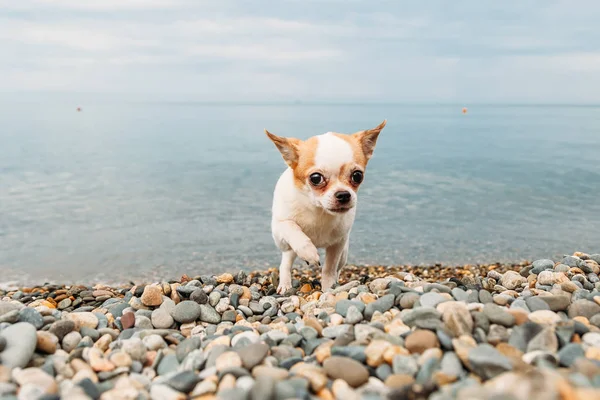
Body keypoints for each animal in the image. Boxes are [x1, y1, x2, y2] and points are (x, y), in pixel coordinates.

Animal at [264, 120, 386, 292]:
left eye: (357, 175)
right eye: (316, 178)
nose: (343, 194)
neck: (318, 209)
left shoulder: (338, 243)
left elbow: (329, 267)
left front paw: (328, 288)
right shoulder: (279, 228)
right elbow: (292, 227)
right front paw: (308, 252)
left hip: (344, 253)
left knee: (338, 267)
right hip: (287, 248)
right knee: (286, 263)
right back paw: (285, 283)